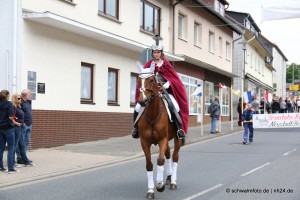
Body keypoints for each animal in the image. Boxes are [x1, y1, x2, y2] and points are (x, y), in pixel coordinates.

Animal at [136, 63, 183, 198]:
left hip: (177, 139)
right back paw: (168, 178)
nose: (142, 101)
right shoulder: (144, 142)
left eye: (151, 80)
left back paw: (172, 182)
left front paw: (159, 185)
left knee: (175, 156)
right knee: (168, 154)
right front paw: (151, 190)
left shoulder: (163, 140)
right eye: (139, 80)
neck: (152, 115)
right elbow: (149, 164)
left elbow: (160, 160)